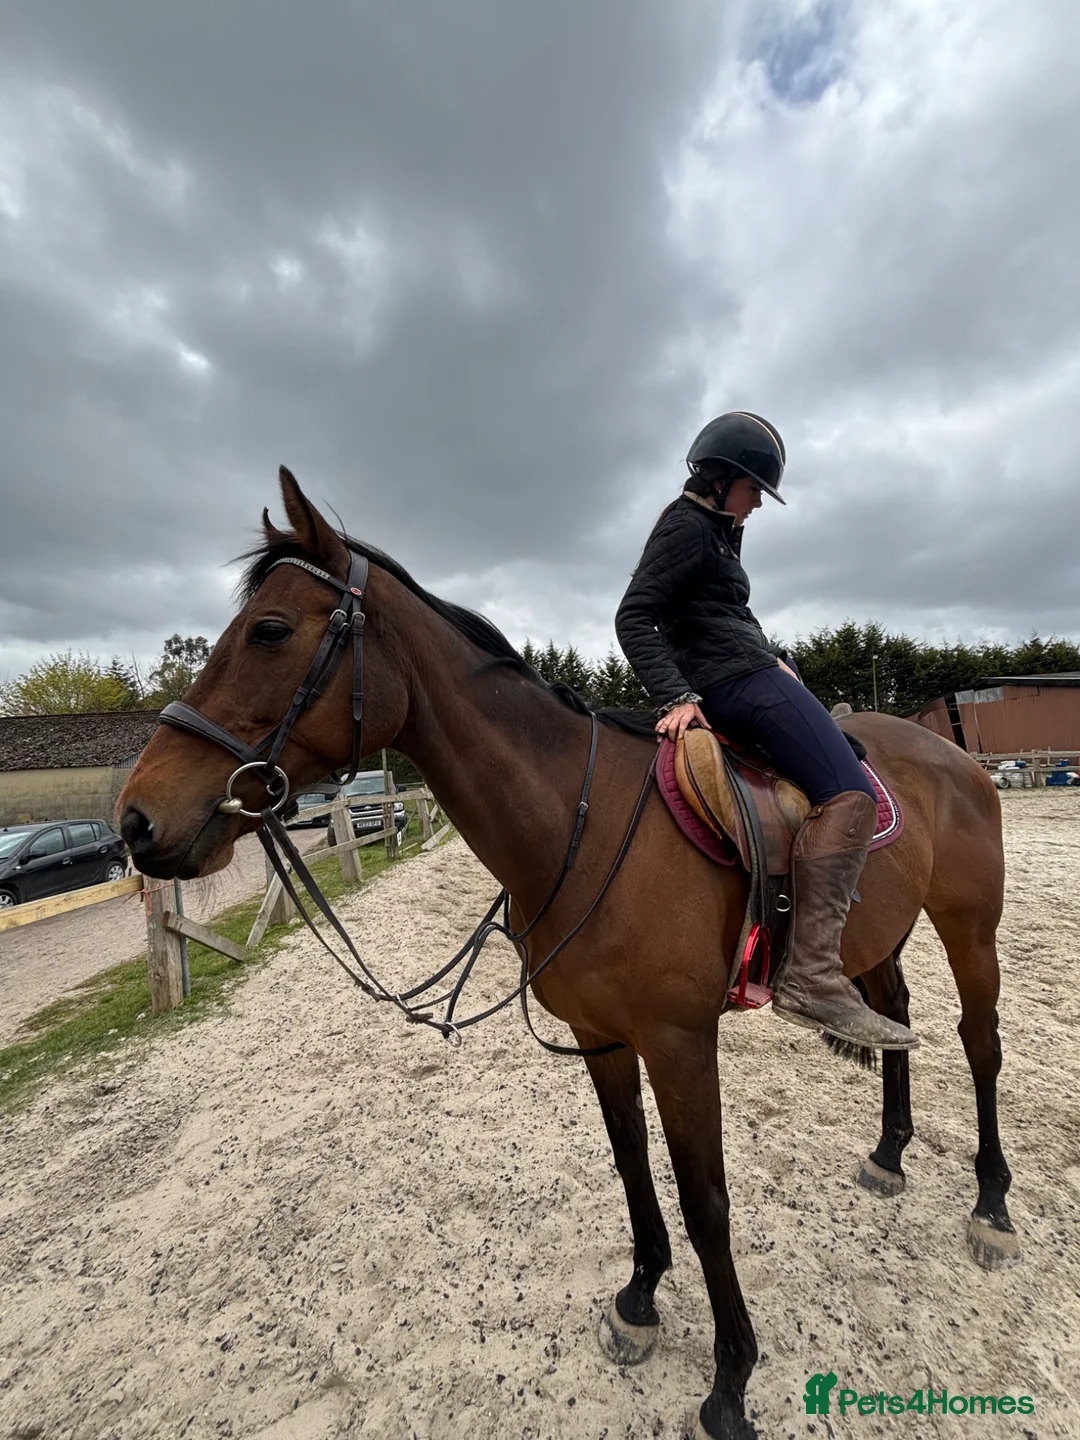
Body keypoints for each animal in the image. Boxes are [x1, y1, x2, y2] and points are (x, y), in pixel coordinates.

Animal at [117, 469, 1016, 1440]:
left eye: (271, 631)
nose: (135, 820)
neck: (579, 823)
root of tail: (949, 750)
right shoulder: (601, 1036)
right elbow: (632, 1166)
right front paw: (640, 1300)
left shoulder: (680, 1044)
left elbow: (706, 1200)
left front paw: (731, 1379)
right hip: (874, 935)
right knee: (894, 1017)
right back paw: (889, 1153)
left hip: (970, 928)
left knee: (980, 1044)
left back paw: (992, 1206)